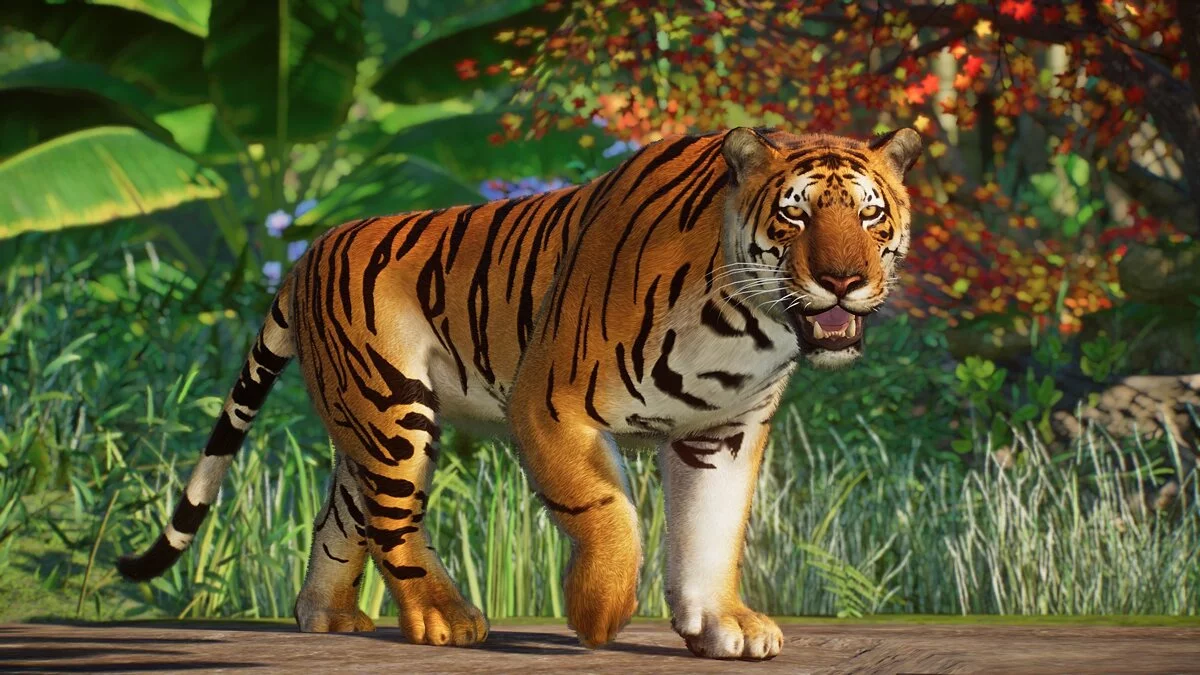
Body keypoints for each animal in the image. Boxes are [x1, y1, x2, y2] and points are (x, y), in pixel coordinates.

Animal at [118, 126, 921, 660]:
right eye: (793, 213)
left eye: (871, 214)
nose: (844, 279)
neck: (744, 327)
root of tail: (309, 250)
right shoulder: (550, 401)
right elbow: (609, 513)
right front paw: (601, 614)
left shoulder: (722, 433)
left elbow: (711, 533)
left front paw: (724, 624)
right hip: (395, 413)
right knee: (393, 521)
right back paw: (446, 619)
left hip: (365, 420)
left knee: (344, 515)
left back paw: (326, 616)